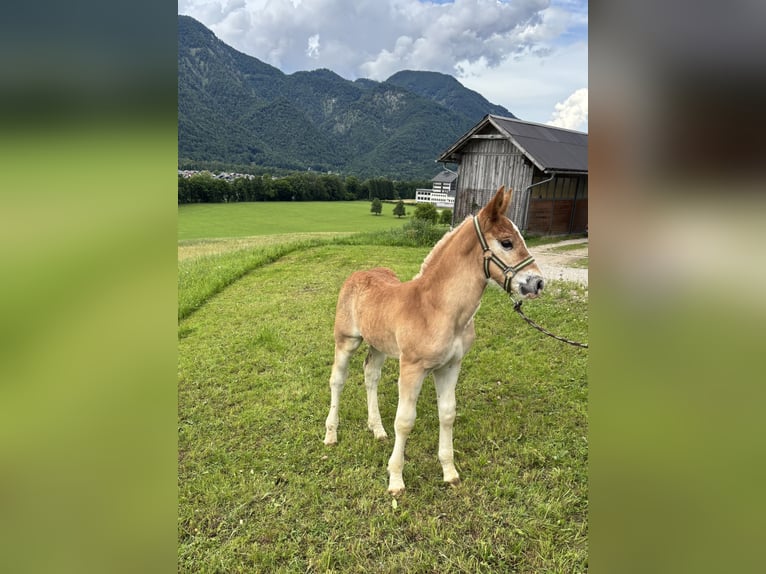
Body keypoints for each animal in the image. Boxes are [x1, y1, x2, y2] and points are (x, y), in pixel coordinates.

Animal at [323, 186, 545, 496]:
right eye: (507, 243)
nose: (538, 283)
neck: (438, 308)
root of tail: (359, 273)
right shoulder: (412, 367)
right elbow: (404, 421)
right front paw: (395, 479)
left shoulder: (450, 366)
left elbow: (447, 414)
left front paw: (449, 472)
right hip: (346, 340)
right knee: (338, 380)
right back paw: (331, 434)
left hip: (379, 345)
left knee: (370, 375)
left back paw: (377, 429)